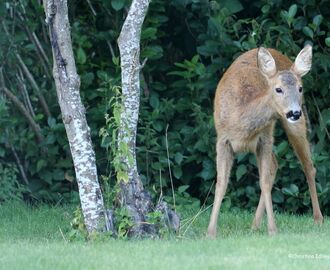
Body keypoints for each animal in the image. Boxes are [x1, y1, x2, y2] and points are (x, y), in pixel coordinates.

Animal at [208, 45, 324, 237]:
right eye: (278, 89)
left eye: (300, 88)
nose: (294, 112)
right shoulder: (222, 140)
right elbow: (221, 183)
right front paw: (210, 232)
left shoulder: (265, 139)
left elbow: (264, 181)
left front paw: (272, 229)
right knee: (276, 166)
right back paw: (254, 225)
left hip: (293, 127)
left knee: (308, 166)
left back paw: (318, 219)